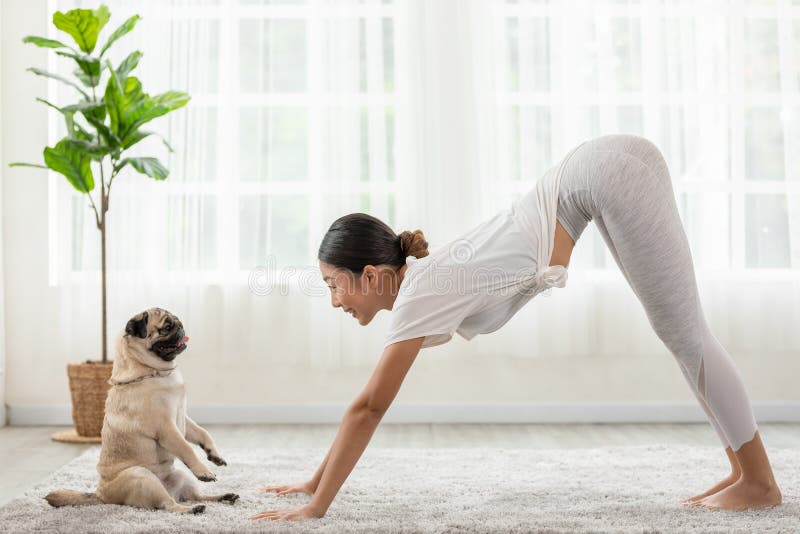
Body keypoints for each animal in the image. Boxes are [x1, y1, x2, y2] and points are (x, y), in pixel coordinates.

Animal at [45, 310, 239, 516]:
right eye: (166, 327)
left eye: (176, 320)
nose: (181, 326)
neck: (152, 371)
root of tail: (101, 495)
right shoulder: (166, 428)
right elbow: (186, 448)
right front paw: (204, 471)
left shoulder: (183, 419)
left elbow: (203, 433)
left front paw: (214, 455)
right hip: (142, 476)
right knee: (169, 505)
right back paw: (192, 509)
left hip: (181, 476)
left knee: (196, 495)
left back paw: (223, 497)